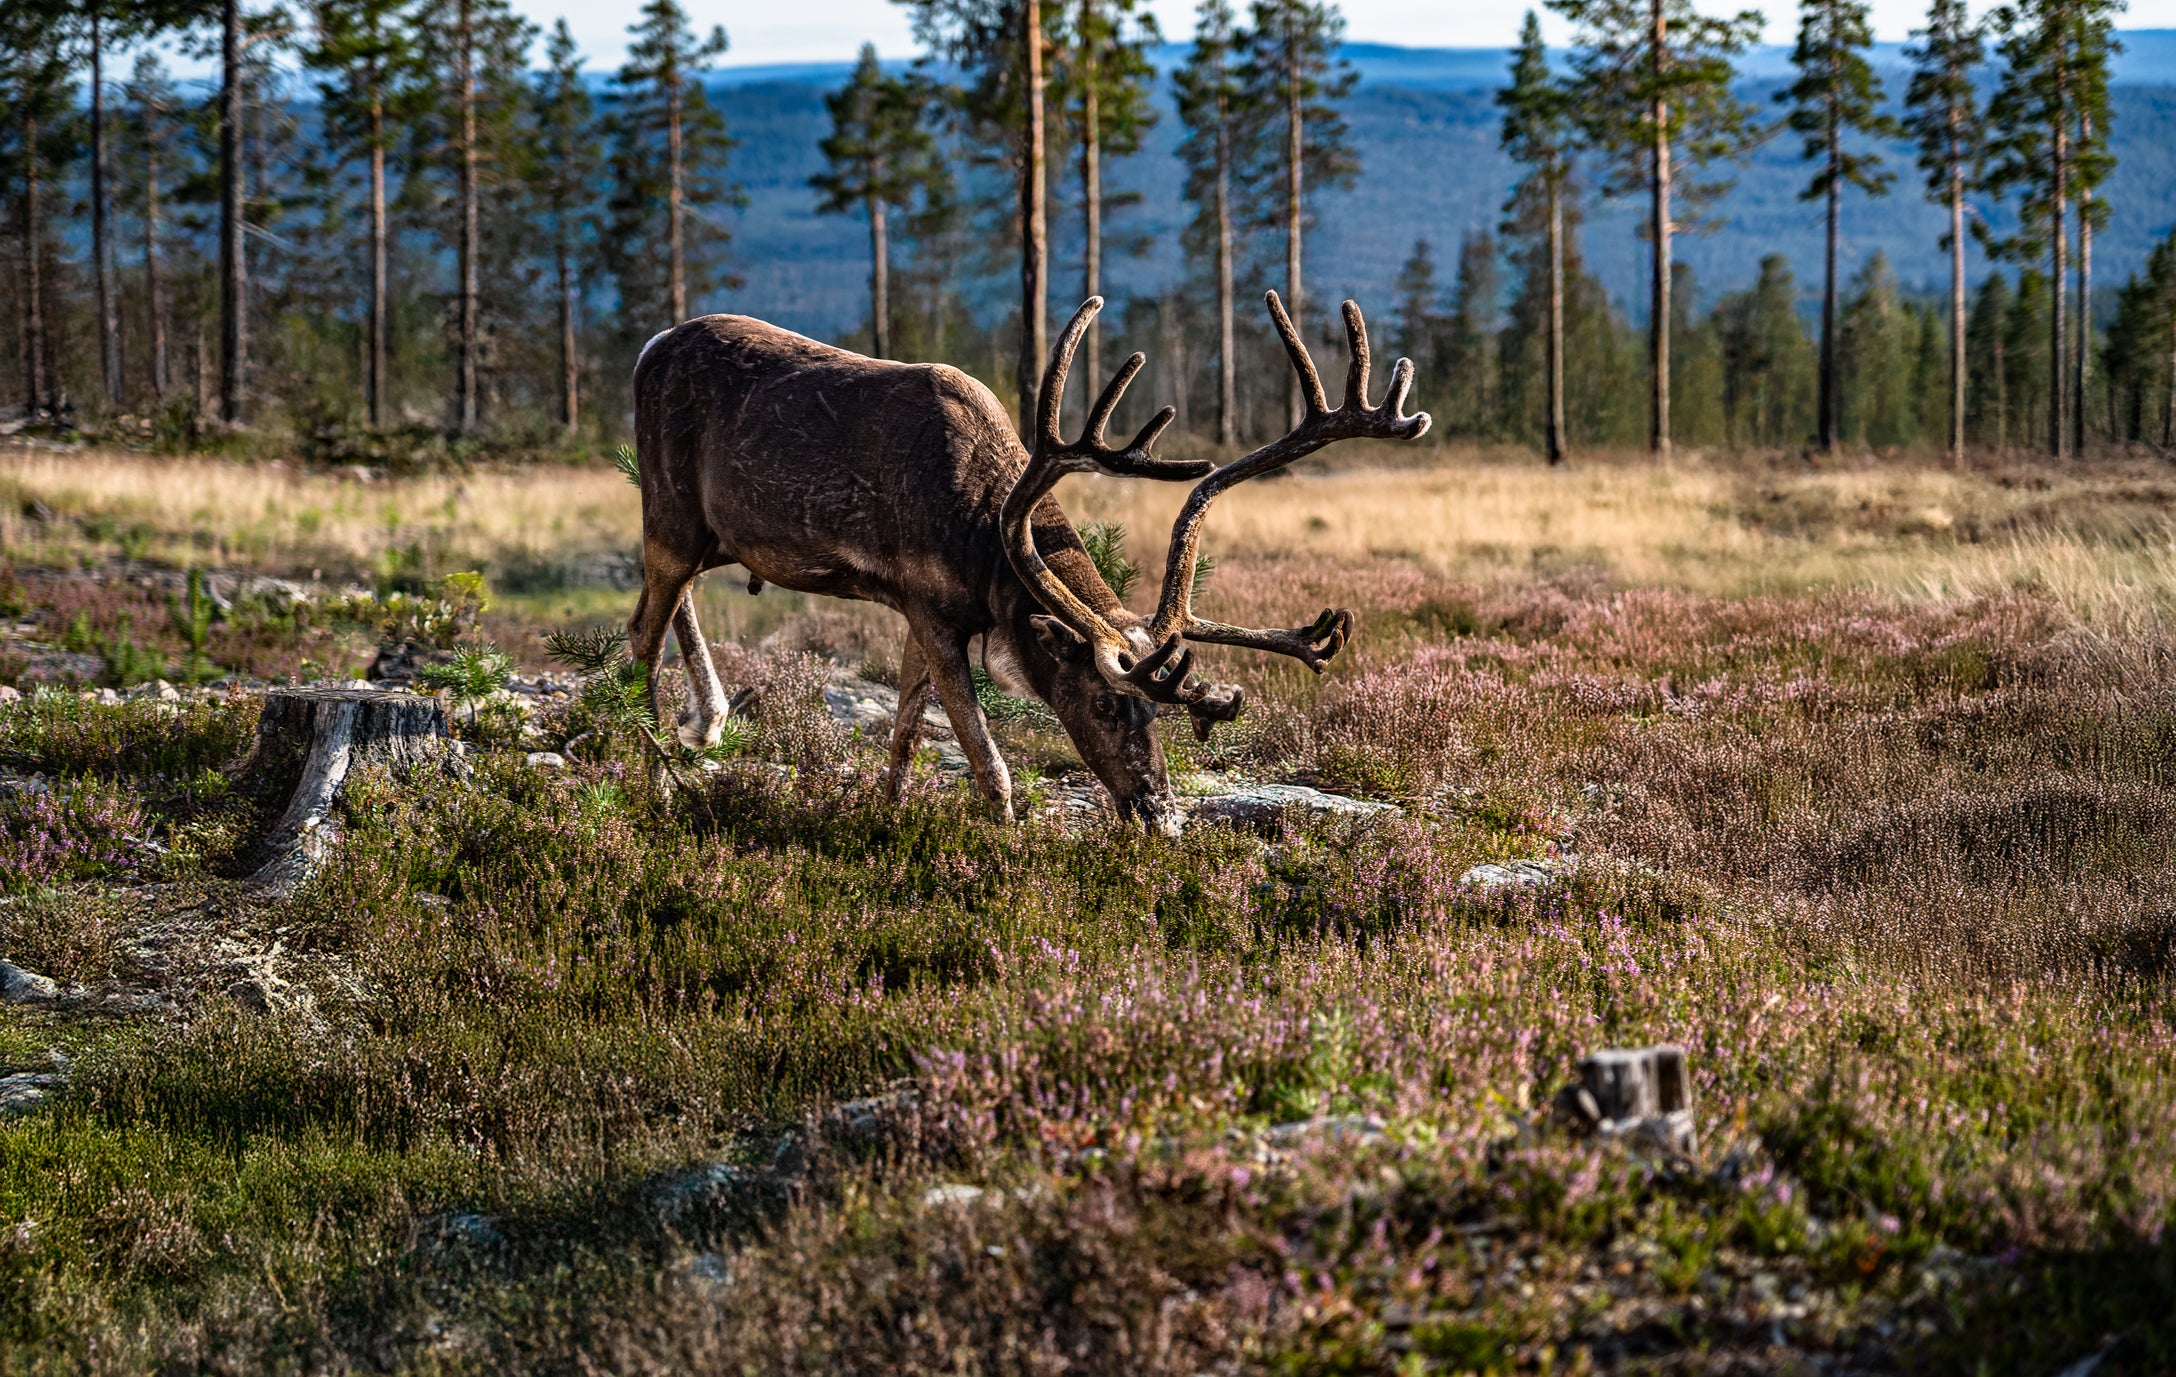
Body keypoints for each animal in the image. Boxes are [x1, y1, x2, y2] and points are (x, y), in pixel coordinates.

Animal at [626, 290, 1430, 831]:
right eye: (1105, 703)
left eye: (1157, 712)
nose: (1159, 813)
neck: (986, 543)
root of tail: (647, 345)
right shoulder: (933, 609)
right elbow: (990, 765)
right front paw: (1006, 848)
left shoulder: (920, 605)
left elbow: (905, 733)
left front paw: (885, 816)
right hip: (669, 513)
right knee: (640, 639)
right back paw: (652, 775)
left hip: (709, 535)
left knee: (662, 606)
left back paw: (707, 722)